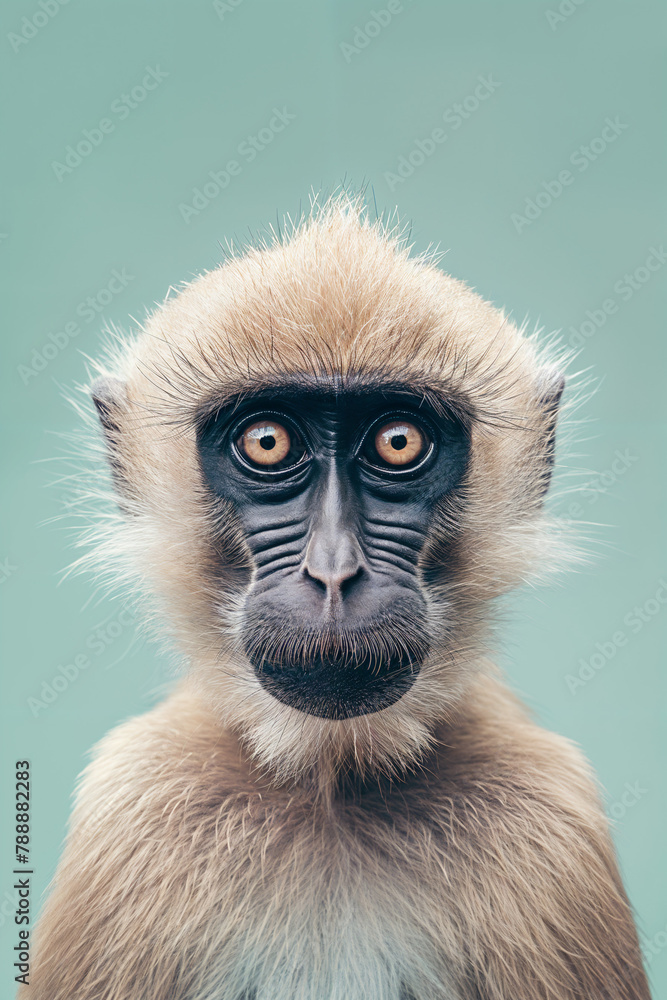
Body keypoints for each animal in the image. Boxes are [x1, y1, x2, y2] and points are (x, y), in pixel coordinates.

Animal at [22, 196, 650, 1000]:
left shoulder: (549, 821)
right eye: (266, 443)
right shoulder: (136, 803)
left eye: (397, 442)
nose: (332, 573)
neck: (332, 788)